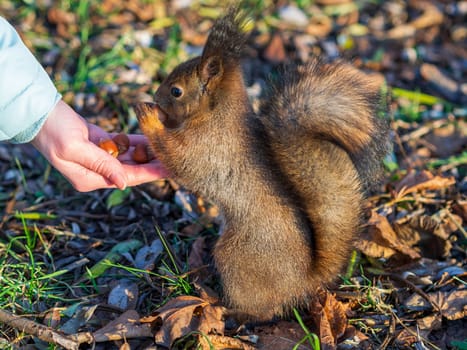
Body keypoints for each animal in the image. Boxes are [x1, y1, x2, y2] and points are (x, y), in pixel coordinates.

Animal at [135, 7, 392, 320]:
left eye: (176, 91)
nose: (156, 96)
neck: (217, 114)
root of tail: (304, 281)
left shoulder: (206, 146)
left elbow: (177, 156)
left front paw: (148, 115)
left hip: (236, 256)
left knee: (262, 310)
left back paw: (226, 307)